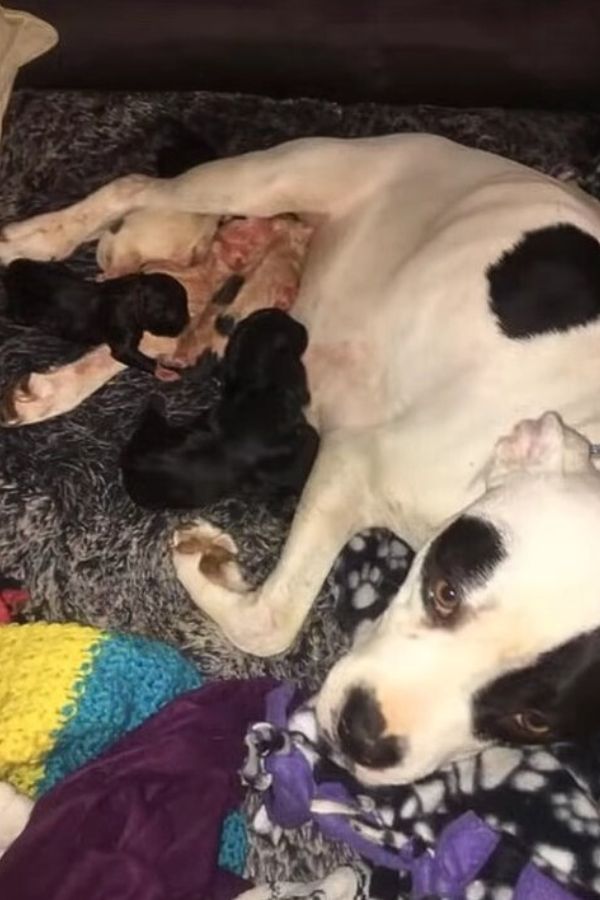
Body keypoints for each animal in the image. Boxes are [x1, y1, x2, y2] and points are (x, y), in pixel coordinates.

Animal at [2, 258, 189, 374]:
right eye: (176, 312)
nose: (187, 321)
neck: (135, 294)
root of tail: (14, 269)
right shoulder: (121, 322)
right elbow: (124, 351)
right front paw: (163, 371)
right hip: (22, 312)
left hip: (54, 267)